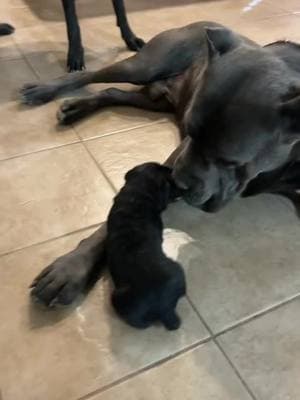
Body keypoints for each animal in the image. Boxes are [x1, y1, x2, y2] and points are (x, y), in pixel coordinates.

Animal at [22, 21, 300, 304]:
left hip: (155, 100)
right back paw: (46, 90)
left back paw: (78, 107)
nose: (178, 181)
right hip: (144, 66)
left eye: (229, 160)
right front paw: (72, 268)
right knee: (90, 74)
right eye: (190, 131)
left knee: (113, 91)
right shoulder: (178, 156)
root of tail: (203, 23)